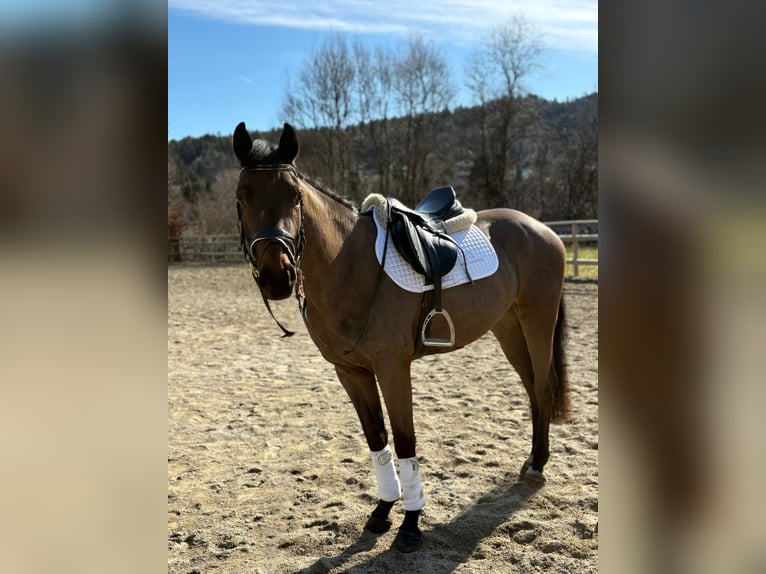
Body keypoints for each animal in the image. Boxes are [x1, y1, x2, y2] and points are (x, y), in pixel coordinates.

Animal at [232, 122, 571, 553]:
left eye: (295, 196)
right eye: (242, 197)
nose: (278, 276)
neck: (348, 263)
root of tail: (542, 229)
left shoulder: (393, 368)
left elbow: (406, 439)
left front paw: (411, 524)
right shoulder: (351, 372)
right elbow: (377, 440)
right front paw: (382, 510)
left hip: (536, 321)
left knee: (543, 386)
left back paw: (538, 466)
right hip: (508, 328)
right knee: (531, 388)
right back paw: (532, 459)